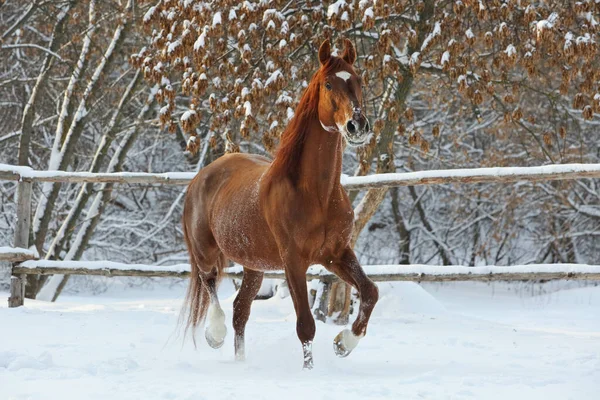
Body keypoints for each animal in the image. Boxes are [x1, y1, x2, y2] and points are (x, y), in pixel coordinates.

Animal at [182, 39, 380, 368]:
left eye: (358, 80)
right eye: (328, 84)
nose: (357, 125)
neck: (316, 195)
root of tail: (201, 177)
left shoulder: (335, 255)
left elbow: (370, 291)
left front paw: (343, 343)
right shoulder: (293, 260)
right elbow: (306, 325)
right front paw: (309, 370)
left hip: (254, 266)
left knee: (240, 311)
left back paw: (241, 361)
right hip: (206, 252)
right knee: (210, 284)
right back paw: (215, 334)